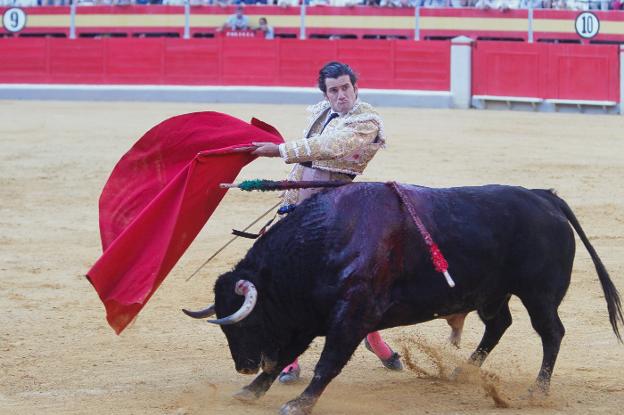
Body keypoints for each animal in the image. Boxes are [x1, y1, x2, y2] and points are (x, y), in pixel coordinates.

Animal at [183, 184, 620, 415]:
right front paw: (251, 390)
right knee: (499, 325)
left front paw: (299, 403)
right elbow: (284, 359)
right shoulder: (306, 318)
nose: (242, 365)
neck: (327, 240)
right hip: (491, 293)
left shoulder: (351, 315)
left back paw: (537, 392)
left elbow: (328, 362)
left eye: (249, 321)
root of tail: (543, 196)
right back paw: (462, 371)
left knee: (551, 333)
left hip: (539, 294)